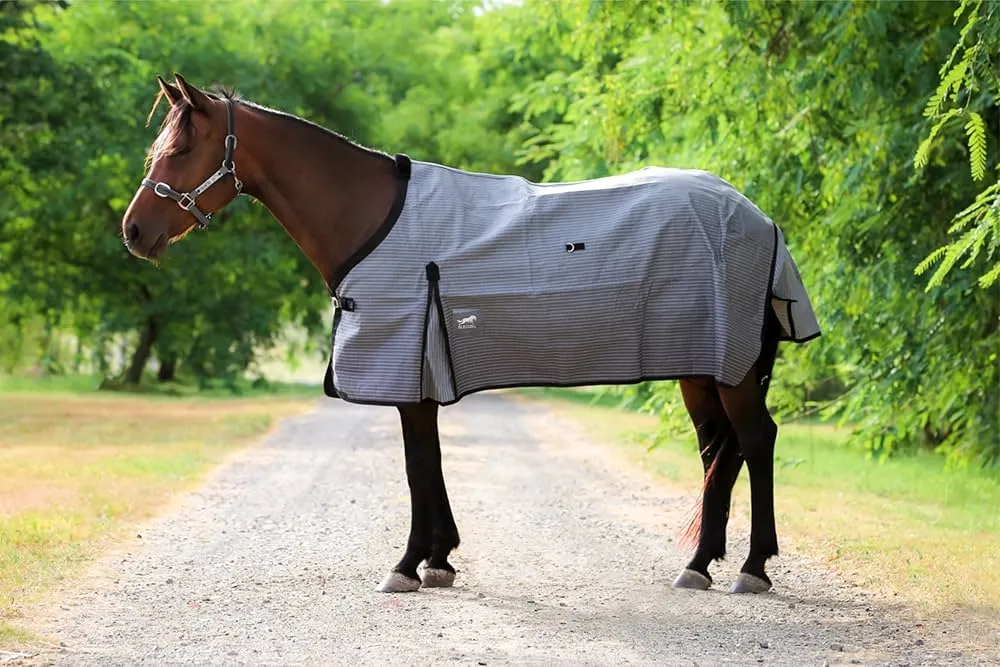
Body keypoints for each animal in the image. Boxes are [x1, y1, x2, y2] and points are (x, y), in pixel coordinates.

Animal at [121, 74, 820, 595]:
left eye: (180, 151)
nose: (133, 233)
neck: (371, 218)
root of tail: (759, 217)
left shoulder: (405, 367)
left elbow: (416, 465)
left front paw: (407, 566)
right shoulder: (421, 372)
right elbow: (428, 462)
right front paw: (439, 560)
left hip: (730, 368)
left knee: (755, 441)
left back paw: (753, 570)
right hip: (702, 367)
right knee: (716, 451)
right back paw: (698, 566)